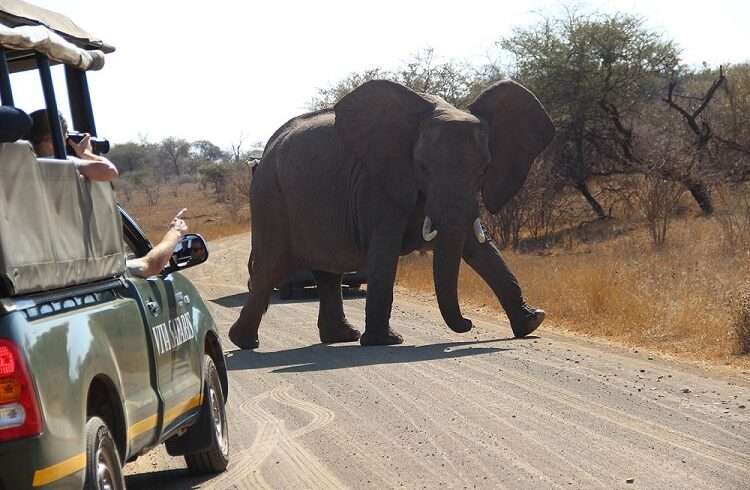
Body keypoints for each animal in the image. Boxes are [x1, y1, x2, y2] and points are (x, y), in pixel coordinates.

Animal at [232, 78, 556, 348]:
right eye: (422, 167)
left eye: (484, 169)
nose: (468, 323)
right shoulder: (378, 182)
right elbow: (385, 250)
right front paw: (385, 342)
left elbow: (479, 248)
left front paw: (532, 322)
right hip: (269, 195)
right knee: (270, 267)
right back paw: (244, 342)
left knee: (326, 270)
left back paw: (340, 337)